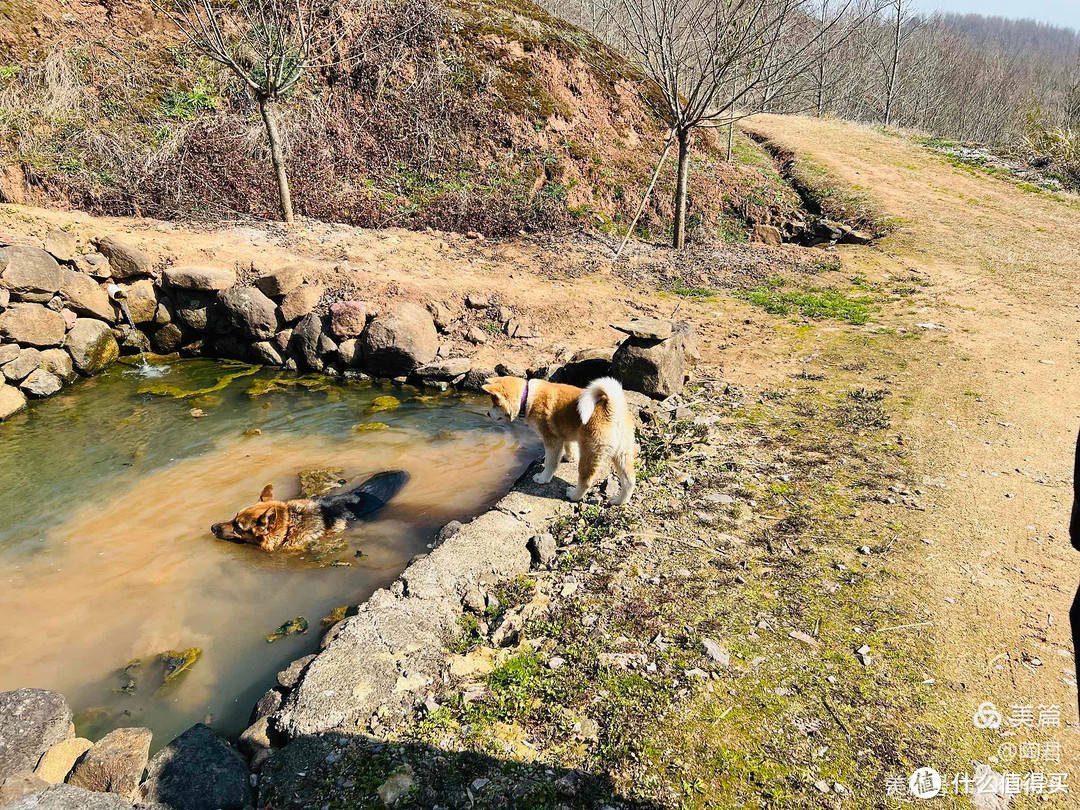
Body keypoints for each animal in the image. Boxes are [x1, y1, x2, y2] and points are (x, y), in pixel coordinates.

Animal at [481, 378, 630, 505]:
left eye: (496, 404)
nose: (487, 414)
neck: (527, 399)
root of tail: (612, 409)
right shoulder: (564, 434)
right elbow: (569, 446)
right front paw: (569, 458)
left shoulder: (552, 440)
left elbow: (550, 463)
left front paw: (543, 478)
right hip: (622, 454)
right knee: (629, 481)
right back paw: (619, 501)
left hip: (590, 452)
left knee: (586, 481)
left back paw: (573, 495)